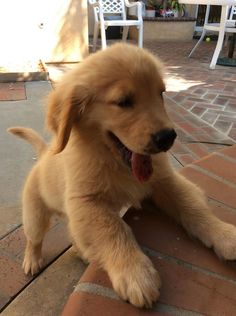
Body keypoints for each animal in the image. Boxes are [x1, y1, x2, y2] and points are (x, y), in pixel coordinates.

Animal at [9, 43, 236, 308]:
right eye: (124, 102)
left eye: (161, 94)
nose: (168, 137)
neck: (114, 161)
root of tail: (45, 153)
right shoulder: (87, 202)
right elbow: (114, 229)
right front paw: (135, 273)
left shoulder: (164, 181)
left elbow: (192, 206)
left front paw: (224, 234)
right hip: (35, 214)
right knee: (34, 238)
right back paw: (32, 260)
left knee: (75, 233)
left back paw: (81, 252)